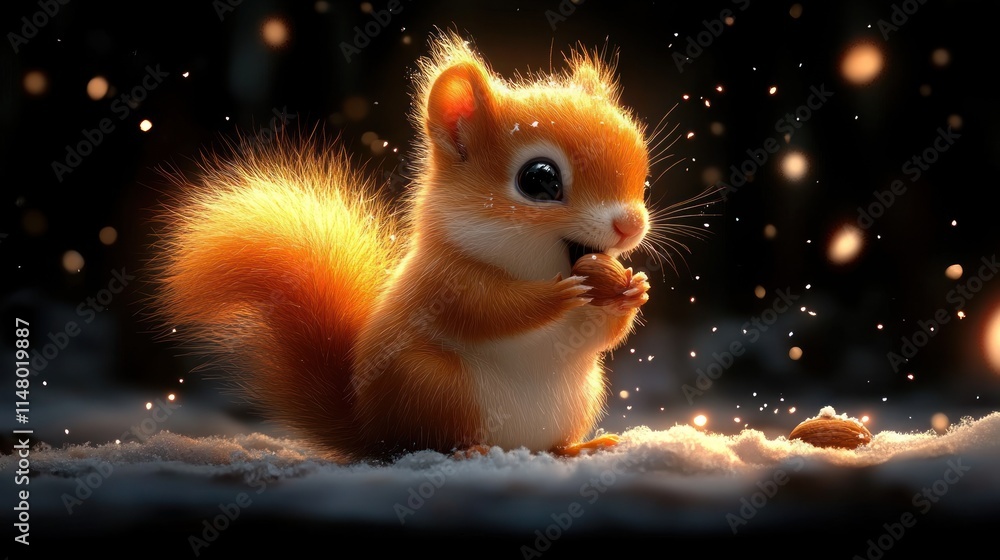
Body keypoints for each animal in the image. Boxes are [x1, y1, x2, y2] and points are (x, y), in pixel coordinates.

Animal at [152, 32, 656, 463]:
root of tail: (367, 428)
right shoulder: (441, 281)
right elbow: (488, 310)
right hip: (432, 386)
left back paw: (580, 447)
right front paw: (556, 295)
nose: (630, 225)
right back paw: (467, 451)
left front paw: (633, 290)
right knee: (418, 444)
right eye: (539, 179)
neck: (530, 266)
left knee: (549, 445)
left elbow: (598, 334)